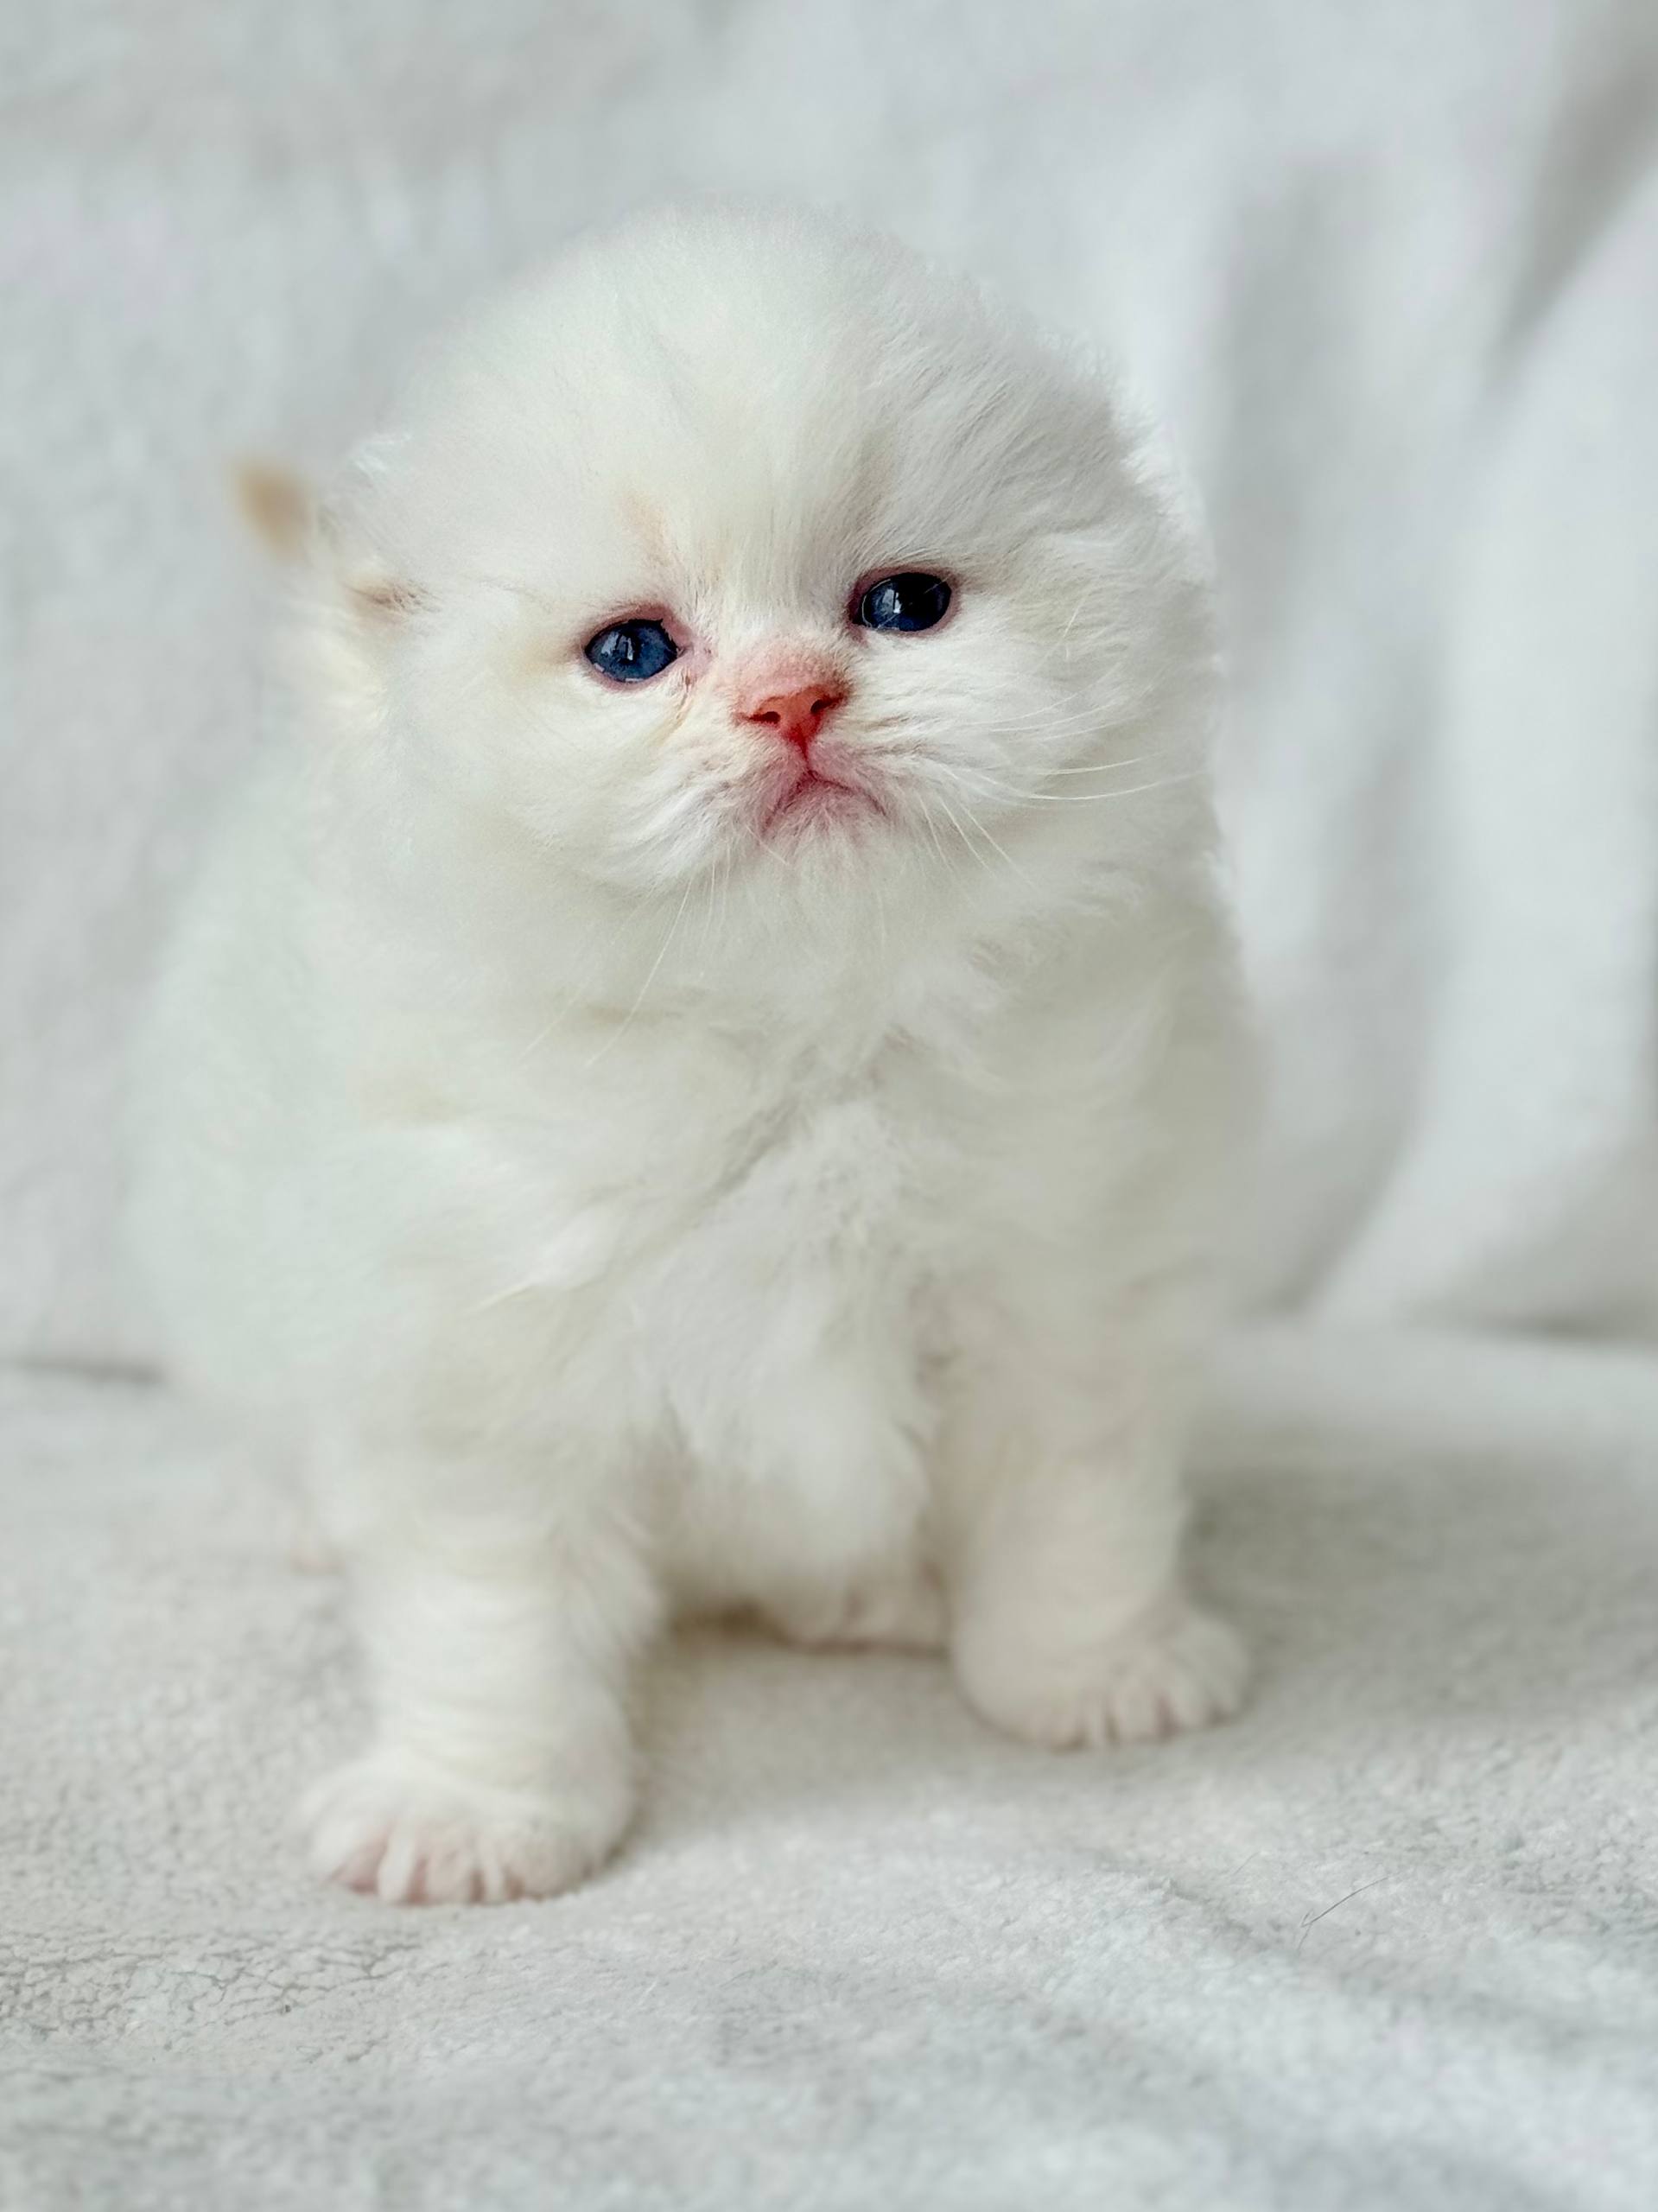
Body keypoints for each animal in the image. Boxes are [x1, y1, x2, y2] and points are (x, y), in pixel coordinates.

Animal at [131, 204, 1251, 1904]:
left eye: (901, 608)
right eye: (632, 651)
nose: (791, 701)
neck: (800, 1049)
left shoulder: (1067, 1284)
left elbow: (1074, 1504)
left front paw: (1091, 1673)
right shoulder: (482, 1360)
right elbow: (493, 1619)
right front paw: (474, 1811)